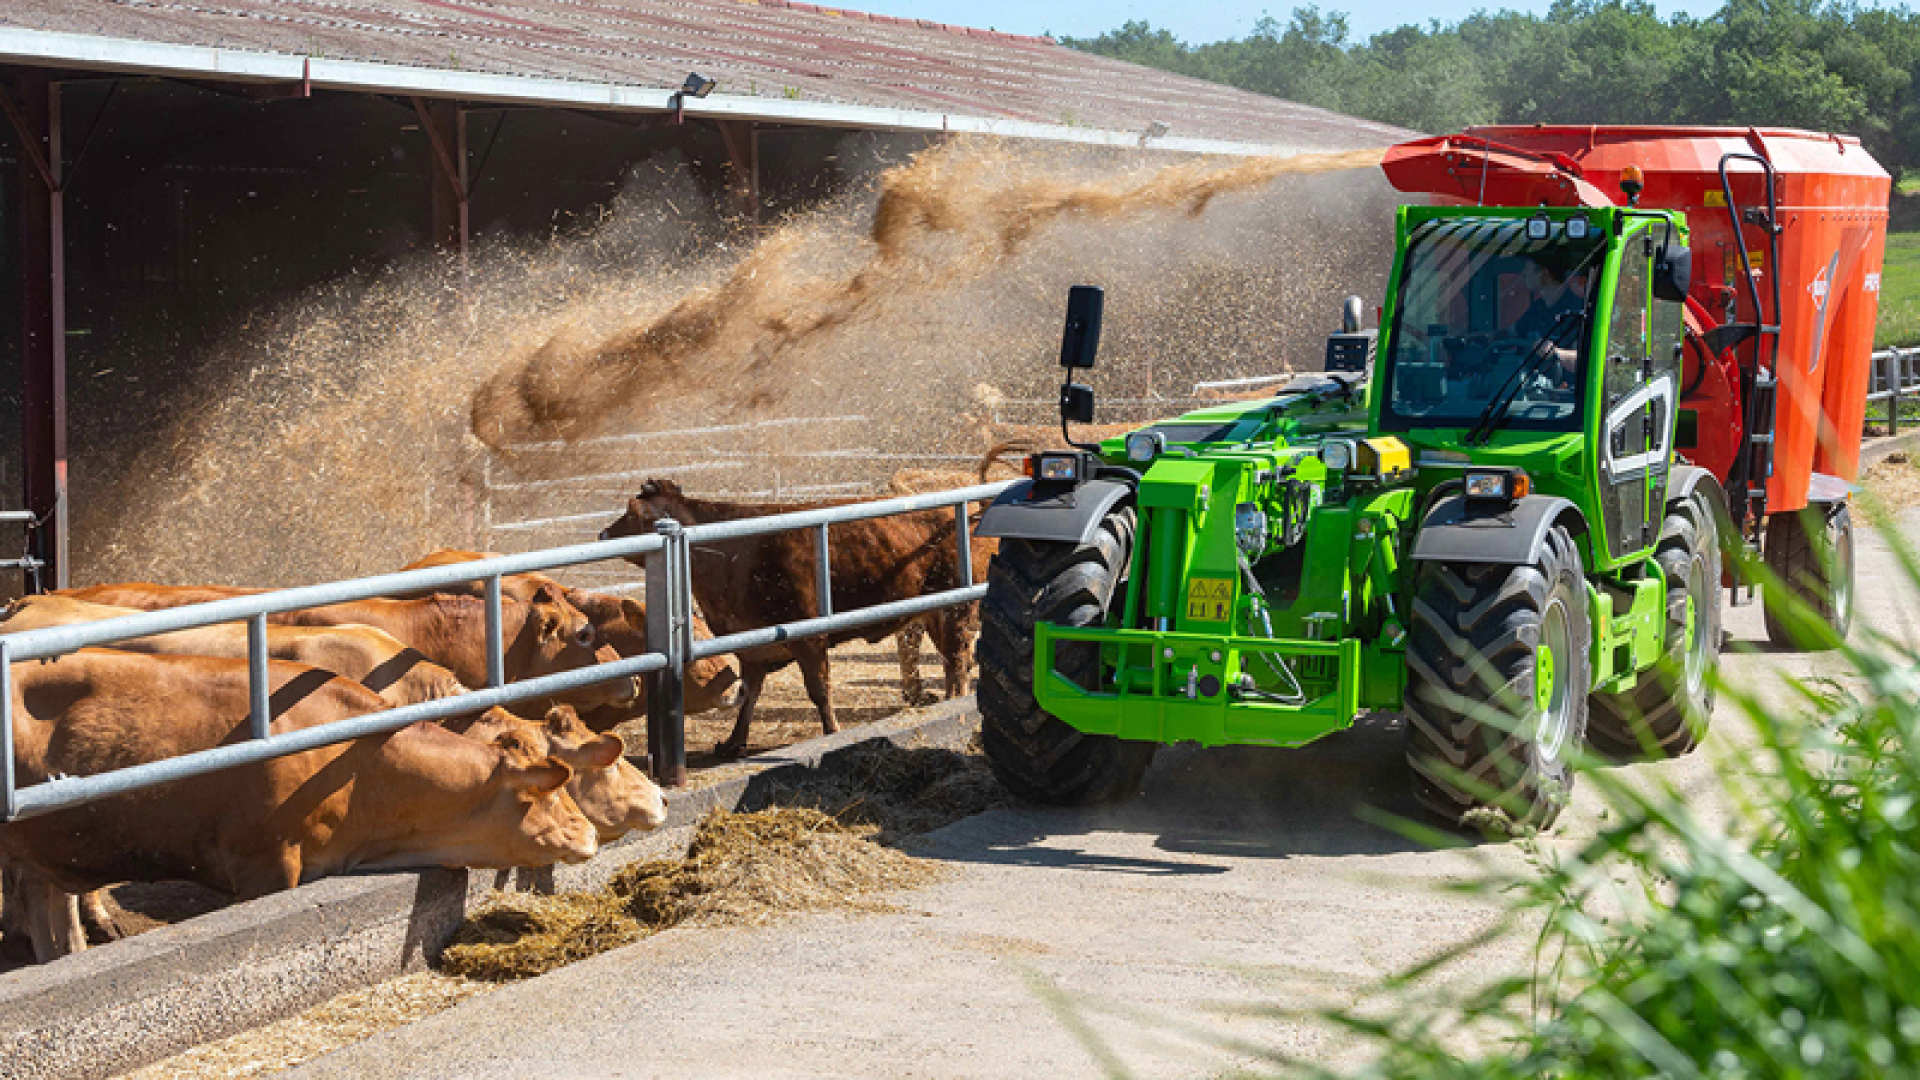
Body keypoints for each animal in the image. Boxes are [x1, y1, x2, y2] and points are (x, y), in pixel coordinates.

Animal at [599, 478, 990, 757]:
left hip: (956, 610)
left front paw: (832, 732)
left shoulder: (809, 639)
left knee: (958, 661)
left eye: (630, 514)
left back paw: (954, 701)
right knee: (954, 661)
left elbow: (819, 690)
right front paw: (734, 742)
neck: (733, 554)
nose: (602, 533)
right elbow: (749, 694)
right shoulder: (750, 646)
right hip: (938, 613)